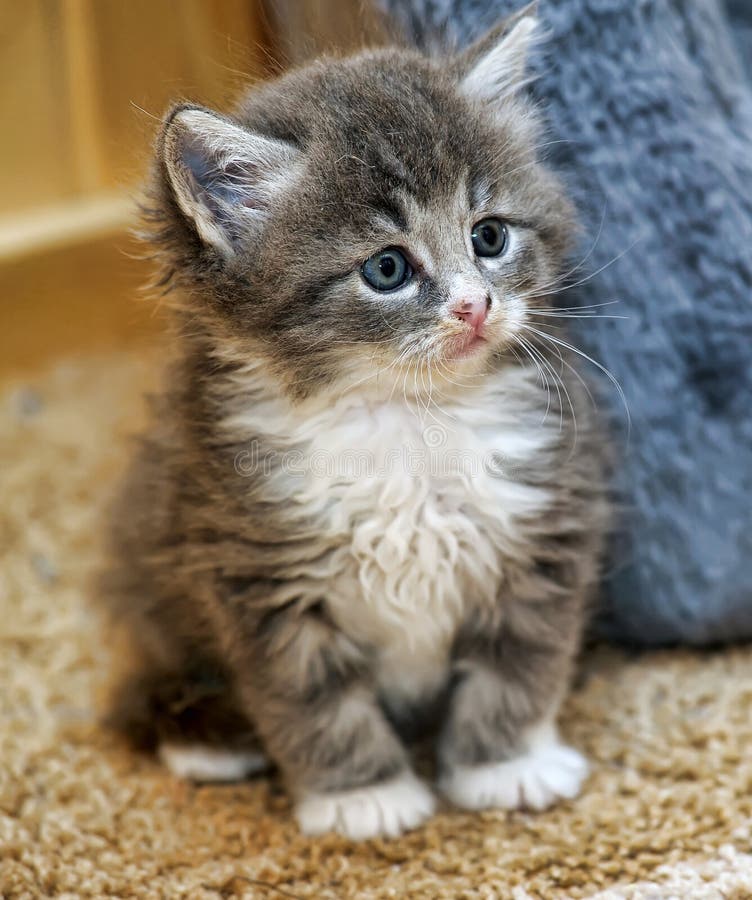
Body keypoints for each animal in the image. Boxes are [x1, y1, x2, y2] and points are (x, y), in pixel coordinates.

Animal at [103, 7, 612, 840]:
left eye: (490, 236)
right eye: (387, 269)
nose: (476, 306)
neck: (407, 419)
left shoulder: (544, 526)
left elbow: (517, 664)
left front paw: (505, 765)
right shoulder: (256, 571)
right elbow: (315, 705)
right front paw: (362, 794)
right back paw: (208, 742)